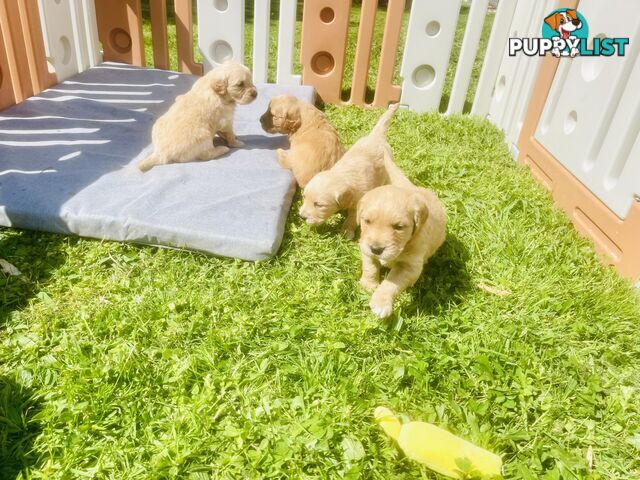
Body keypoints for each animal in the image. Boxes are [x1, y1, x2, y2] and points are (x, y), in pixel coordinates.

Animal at [300, 102, 404, 238]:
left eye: (319, 205)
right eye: (304, 197)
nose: (301, 217)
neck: (342, 177)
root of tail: (376, 136)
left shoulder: (358, 205)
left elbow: (351, 219)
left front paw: (346, 232)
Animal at [358, 185, 448, 318]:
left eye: (399, 227)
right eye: (367, 221)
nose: (376, 249)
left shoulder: (409, 267)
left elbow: (391, 283)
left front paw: (380, 302)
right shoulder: (365, 246)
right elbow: (370, 267)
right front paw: (368, 285)